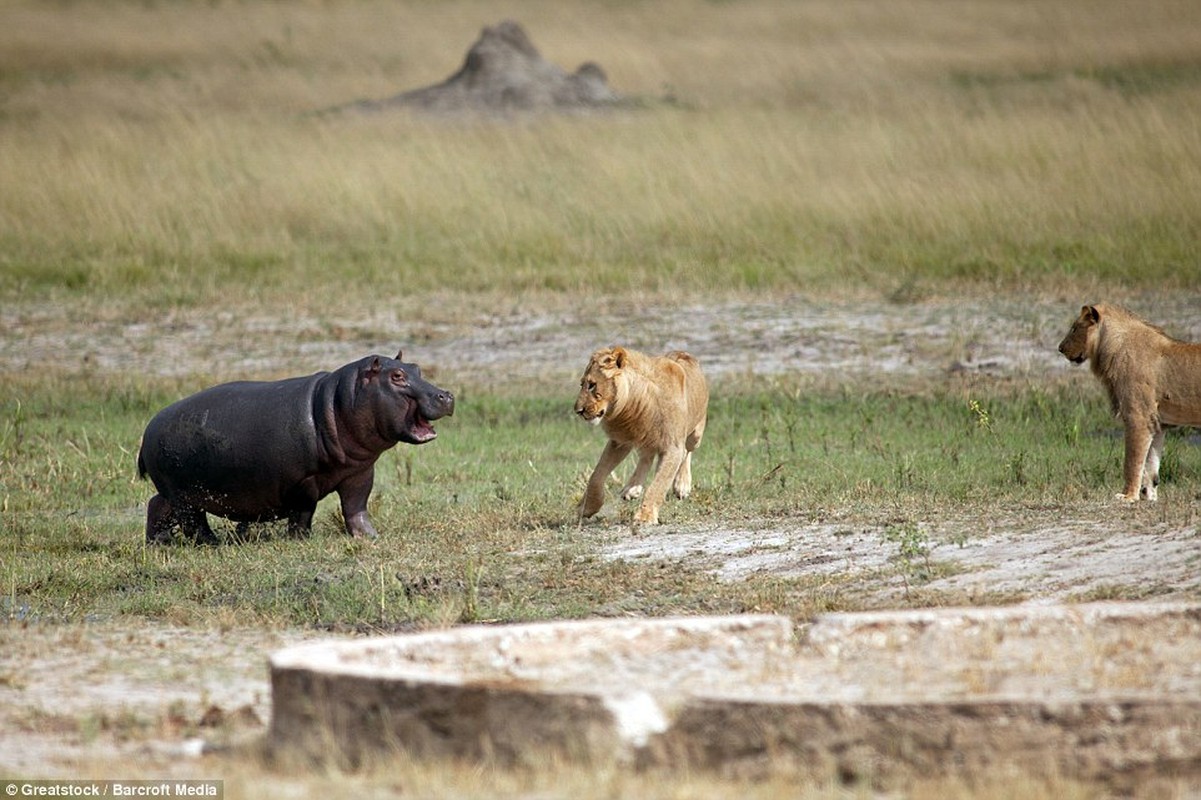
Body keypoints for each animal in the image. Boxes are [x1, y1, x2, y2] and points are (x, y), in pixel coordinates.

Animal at [137, 348, 453, 542]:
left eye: (416, 368)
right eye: (397, 376)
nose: (446, 395)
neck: (338, 403)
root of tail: (149, 428)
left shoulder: (359, 472)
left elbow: (356, 507)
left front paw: (370, 536)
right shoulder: (303, 481)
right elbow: (303, 511)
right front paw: (301, 539)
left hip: (174, 493)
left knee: (156, 506)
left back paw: (160, 543)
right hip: (186, 496)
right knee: (194, 524)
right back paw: (213, 544)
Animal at [569, 343, 701, 523]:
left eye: (592, 385)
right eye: (581, 384)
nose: (578, 411)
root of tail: (681, 352)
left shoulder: (673, 446)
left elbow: (658, 484)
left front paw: (645, 516)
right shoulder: (620, 441)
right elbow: (596, 476)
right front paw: (587, 507)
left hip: (696, 434)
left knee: (687, 451)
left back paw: (682, 485)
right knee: (646, 457)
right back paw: (631, 489)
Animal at [1061, 303, 1201, 499]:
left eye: (1074, 328)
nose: (1060, 348)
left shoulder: (1138, 417)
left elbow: (1132, 461)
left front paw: (1127, 496)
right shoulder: (1158, 423)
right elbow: (1151, 467)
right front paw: (1149, 497)